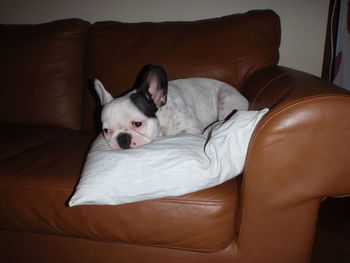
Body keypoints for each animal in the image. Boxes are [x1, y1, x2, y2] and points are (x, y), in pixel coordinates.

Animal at [93, 64, 247, 150]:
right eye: (106, 131)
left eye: (137, 124)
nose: (122, 139)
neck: (161, 118)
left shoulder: (192, 127)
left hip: (226, 101)